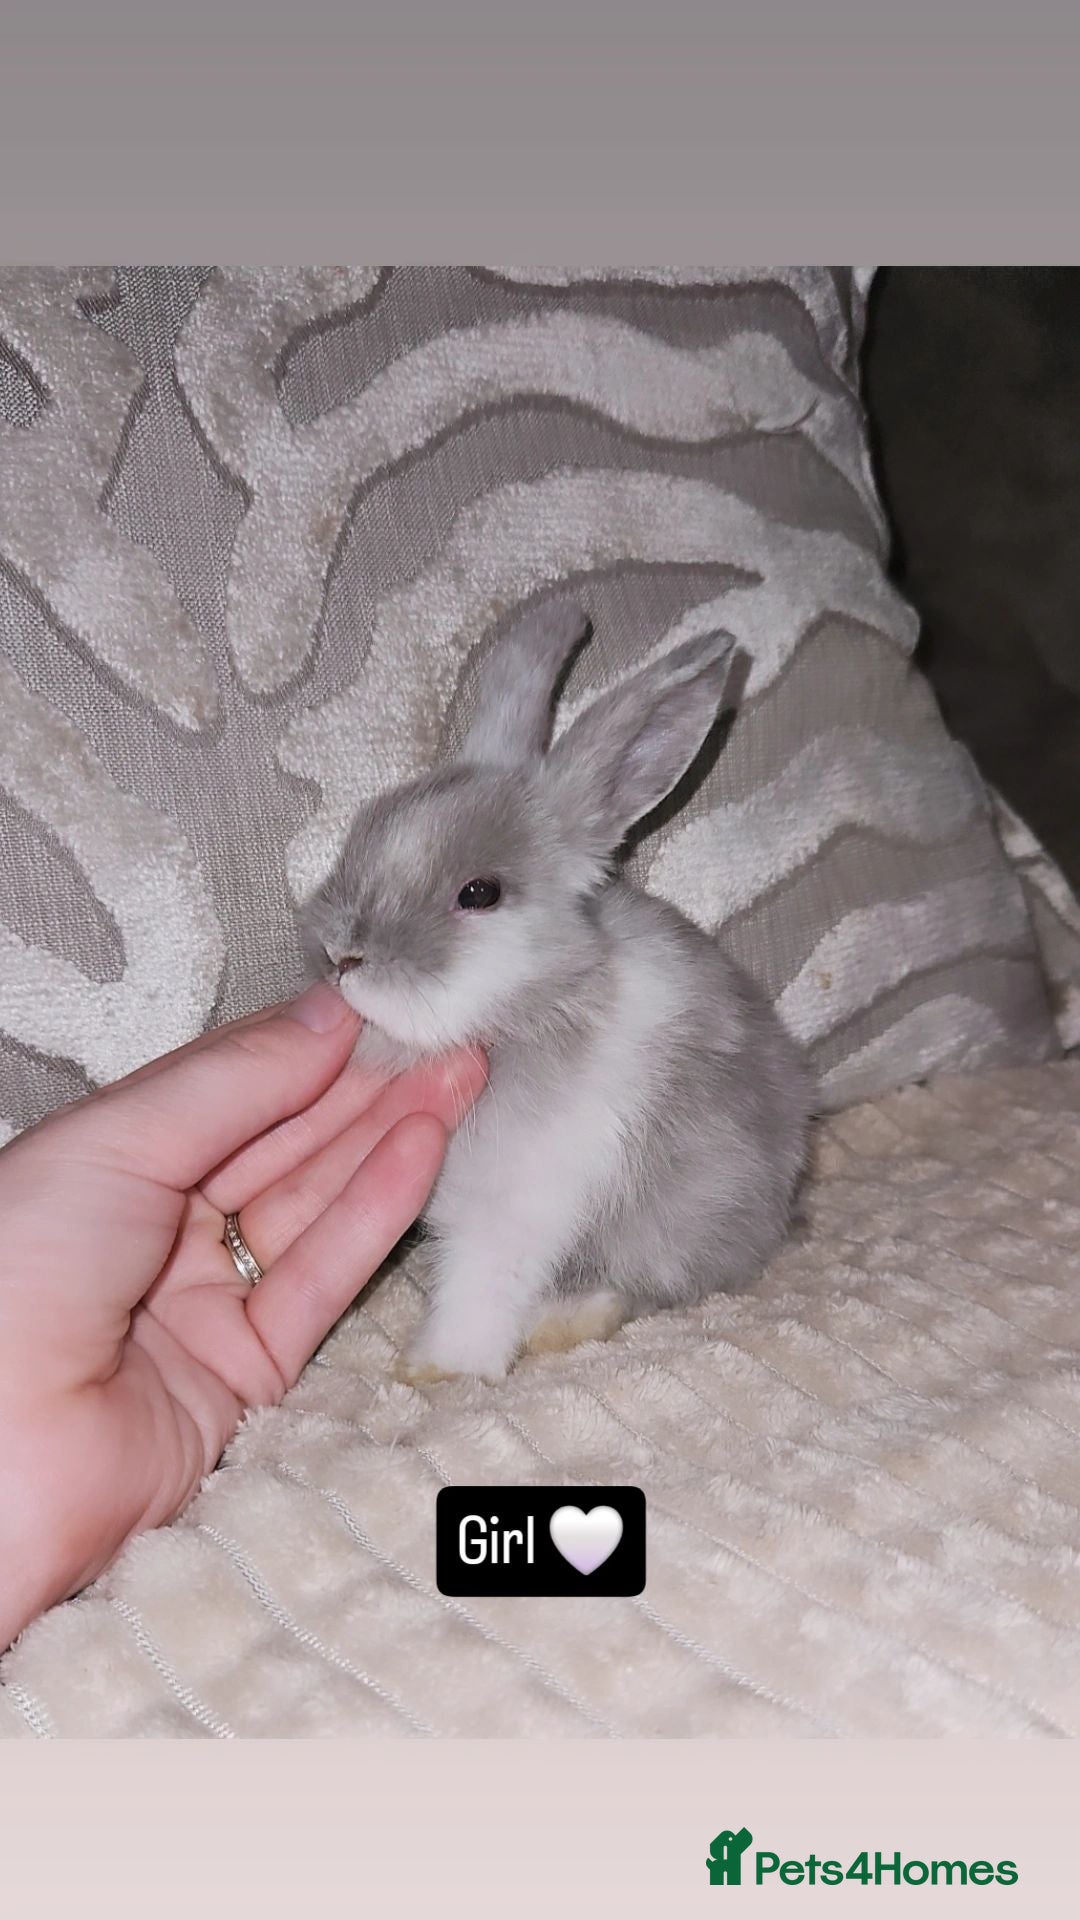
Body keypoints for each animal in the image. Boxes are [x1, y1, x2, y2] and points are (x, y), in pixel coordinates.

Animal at [301, 603, 812, 1384]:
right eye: (361, 832)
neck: (534, 1002)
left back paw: (560, 1323)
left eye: (479, 894)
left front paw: (439, 1372)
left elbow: (480, 1291)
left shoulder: (517, 1212)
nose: (341, 956)